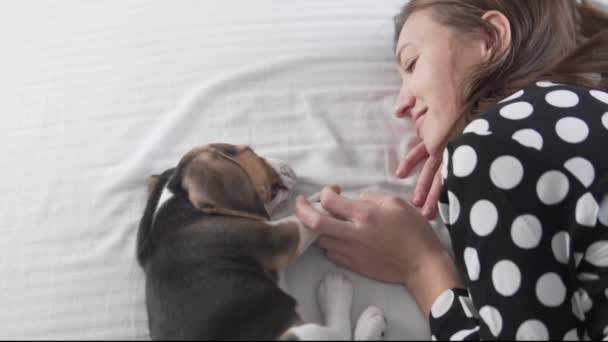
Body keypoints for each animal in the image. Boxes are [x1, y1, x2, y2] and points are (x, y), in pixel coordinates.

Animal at [137, 144, 384, 340]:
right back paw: (344, 297)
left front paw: (314, 199)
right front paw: (326, 205)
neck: (177, 200)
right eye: (250, 151)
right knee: (340, 334)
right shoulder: (279, 238)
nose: (289, 166)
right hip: (301, 334)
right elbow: (305, 218)